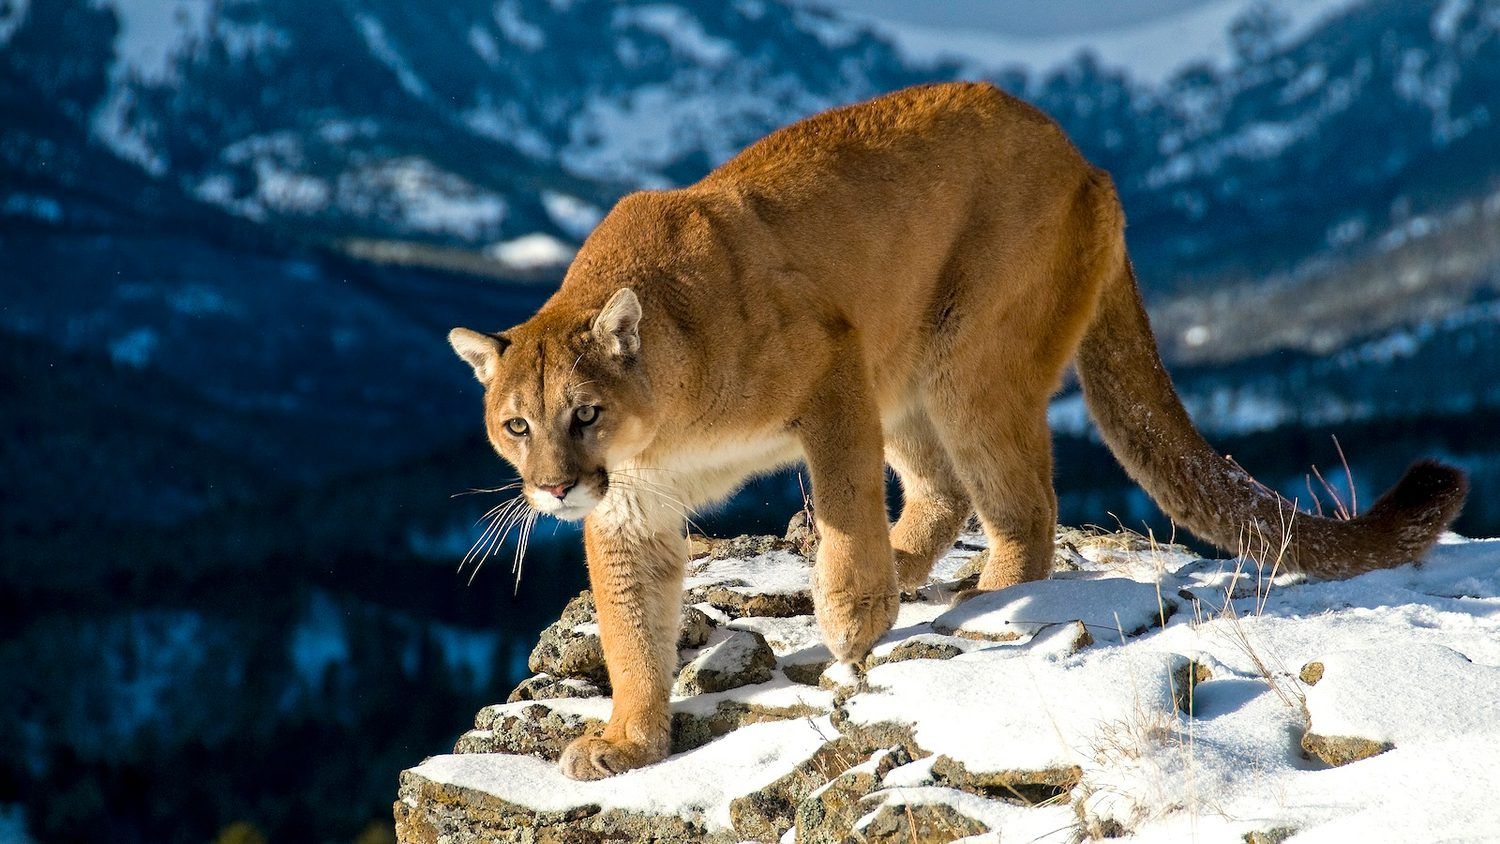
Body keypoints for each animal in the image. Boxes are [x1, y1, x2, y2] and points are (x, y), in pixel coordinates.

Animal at [447, 82, 1467, 780]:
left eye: (585, 412)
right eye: (516, 424)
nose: (553, 486)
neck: (660, 424)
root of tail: (1086, 162)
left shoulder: (832, 364)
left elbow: (845, 495)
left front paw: (850, 618)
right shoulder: (633, 509)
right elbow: (629, 628)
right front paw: (628, 738)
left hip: (964, 357)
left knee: (1020, 502)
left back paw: (986, 594)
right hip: (908, 371)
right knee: (943, 488)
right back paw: (913, 570)